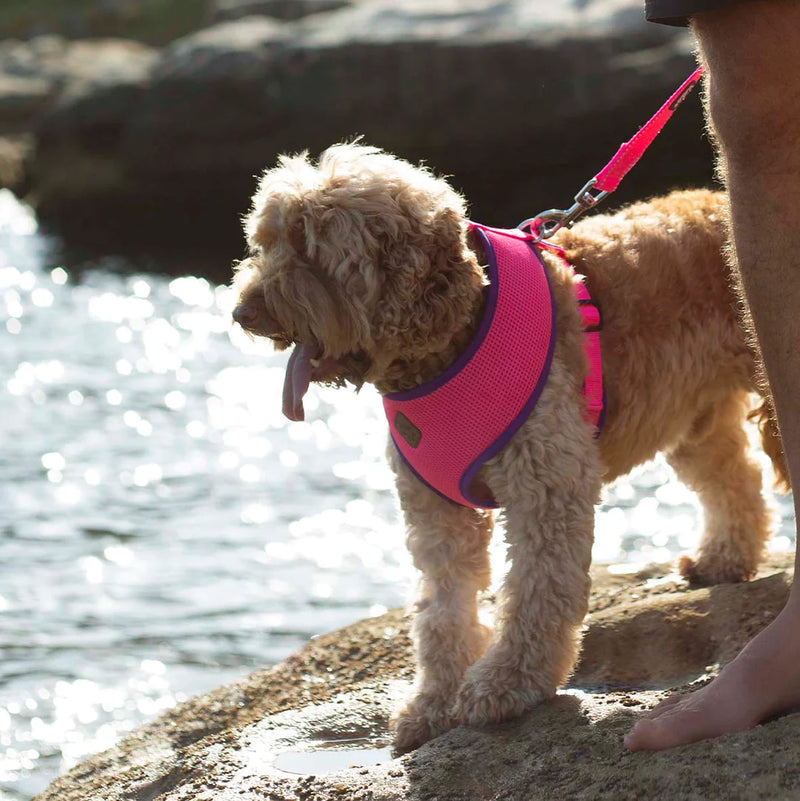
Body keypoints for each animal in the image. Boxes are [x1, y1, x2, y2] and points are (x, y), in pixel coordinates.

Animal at [231, 142, 788, 752]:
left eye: (309, 246)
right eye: (265, 243)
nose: (241, 313)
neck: (456, 336)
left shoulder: (545, 485)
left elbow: (536, 592)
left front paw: (507, 685)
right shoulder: (435, 511)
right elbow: (442, 612)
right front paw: (433, 704)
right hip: (693, 418)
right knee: (734, 480)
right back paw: (723, 558)